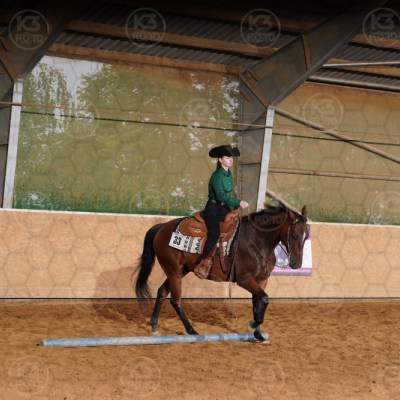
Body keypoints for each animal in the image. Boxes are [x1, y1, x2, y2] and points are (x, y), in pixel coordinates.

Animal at [133, 205, 310, 341]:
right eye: (294, 235)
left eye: (306, 236)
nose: (296, 264)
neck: (256, 241)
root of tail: (161, 227)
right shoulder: (245, 279)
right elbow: (265, 299)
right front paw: (253, 325)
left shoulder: (261, 280)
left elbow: (259, 302)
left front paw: (258, 334)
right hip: (174, 271)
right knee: (175, 300)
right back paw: (192, 331)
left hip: (180, 270)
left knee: (162, 292)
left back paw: (154, 327)